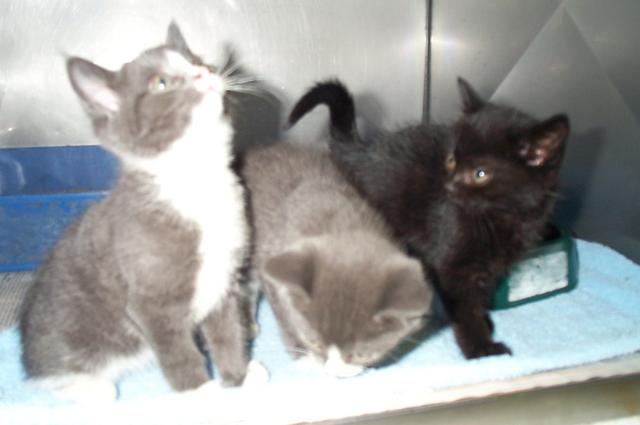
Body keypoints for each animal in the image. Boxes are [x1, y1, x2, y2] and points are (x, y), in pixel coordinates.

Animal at [19, 22, 263, 401]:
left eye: (198, 61)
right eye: (161, 83)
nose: (205, 73)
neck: (197, 178)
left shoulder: (224, 278)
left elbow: (227, 332)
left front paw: (239, 379)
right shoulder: (151, 302)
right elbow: (178, 351)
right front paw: (202, 394)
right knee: (51, 376)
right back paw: (90, 387)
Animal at [242, 141, 432, 377]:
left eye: (362, 355)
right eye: (314, 341)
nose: (334, 369)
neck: (341, 226)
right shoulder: (272, 267)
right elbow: (284, 316)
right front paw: (304, 356)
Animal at [288, 78, 570, 359]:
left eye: (480, 173)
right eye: (452, 160)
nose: (449, 186)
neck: (499, 217)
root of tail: (357, 149)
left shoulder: (493, 265)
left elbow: (478, 300)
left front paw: (485, 323)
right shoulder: (451, 264)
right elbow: (465, 307)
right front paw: (480, 349)